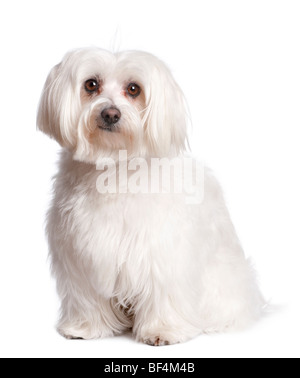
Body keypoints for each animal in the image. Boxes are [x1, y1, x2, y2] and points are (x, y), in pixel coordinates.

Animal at [37, 48, 264, 346]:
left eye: (134, 89)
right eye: (91, 84)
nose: (110, 113)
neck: (115, 169)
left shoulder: (160, 253)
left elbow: (162, 291)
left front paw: (162, 330)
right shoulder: (80, 257)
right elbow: (87, 296)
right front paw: (86, 327)